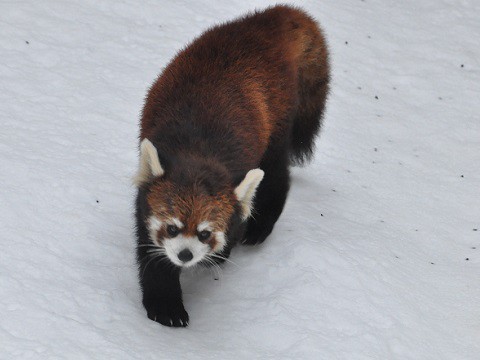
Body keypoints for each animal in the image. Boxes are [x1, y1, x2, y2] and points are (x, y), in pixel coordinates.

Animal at [135, 4, 330, 326]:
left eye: (205, 233)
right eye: (172, 228)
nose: (186, 256)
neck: (198, 151)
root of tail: (262, 22)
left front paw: (219, 255)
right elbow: (151, 254)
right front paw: (166, 307)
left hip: (278, 118)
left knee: (276, 176)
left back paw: (259, 228)